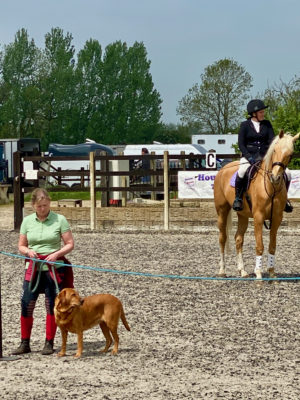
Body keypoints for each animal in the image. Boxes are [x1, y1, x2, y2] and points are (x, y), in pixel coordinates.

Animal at [214, 130, 298, 280]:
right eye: (274, 150)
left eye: (290, 154)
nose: (275, 177)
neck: (271, 187)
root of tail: (223, 169)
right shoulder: (258, 217)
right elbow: (260, 246)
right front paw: (259, 273)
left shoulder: (277, 218)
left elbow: (272, 246)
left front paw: (272, 273)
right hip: (222, 212)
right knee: (222, 238)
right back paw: (222, 271)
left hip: (242, 214)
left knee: (238, 239)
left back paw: (242, 271)